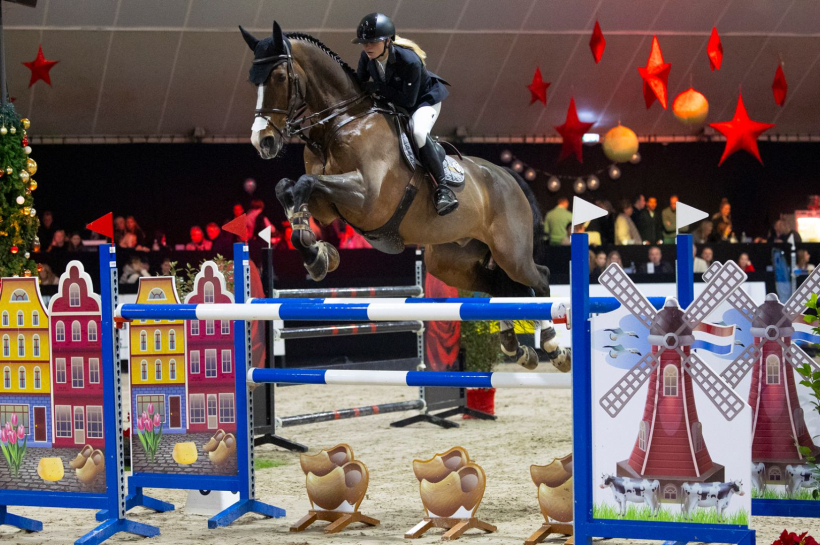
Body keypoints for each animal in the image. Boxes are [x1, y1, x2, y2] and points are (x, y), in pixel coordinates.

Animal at [240, 21, 570, 372]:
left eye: (279, 77)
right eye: (253, 79)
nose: (263, 142)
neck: (340, 124)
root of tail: (508, 176)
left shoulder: (366, 198)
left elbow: (305, 182)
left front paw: (317, 255)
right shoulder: (329, 207)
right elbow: (289, 187)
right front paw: (317, 253)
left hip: (510, 252)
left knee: (539, 279)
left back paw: (556, 349)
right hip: (450, 260)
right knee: (500, 286)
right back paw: (517, 349)